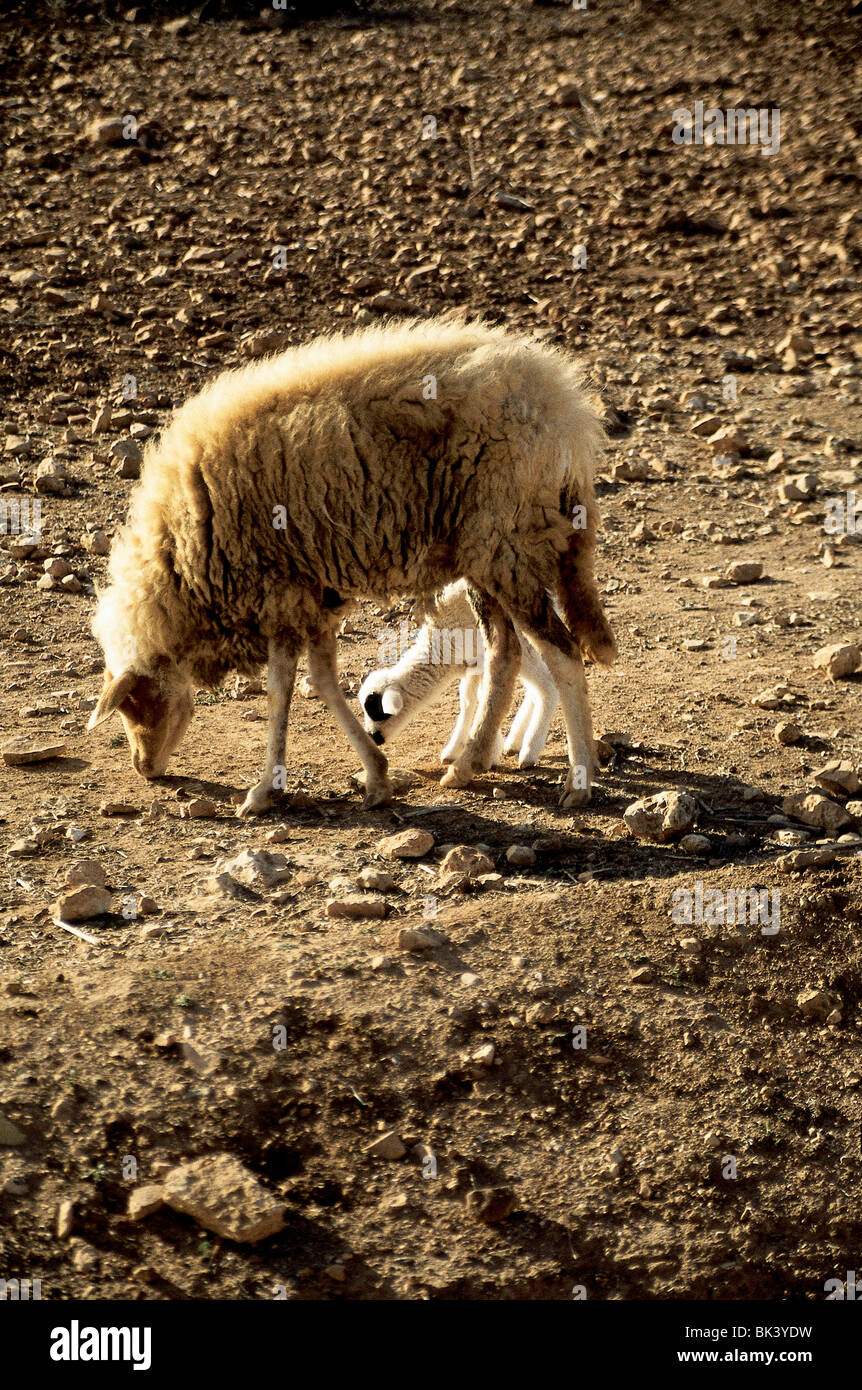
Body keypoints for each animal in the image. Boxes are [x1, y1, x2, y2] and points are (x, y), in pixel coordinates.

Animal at [358, 578, 558, 767]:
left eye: (375, 710)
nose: (374, 738)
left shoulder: (485, 659)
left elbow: (486, 699)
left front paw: (488, 753)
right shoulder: (472, 665)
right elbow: (469, 701)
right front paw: (455, 750)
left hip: (522, 642)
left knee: (547, 684)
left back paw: (529, 752)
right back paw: (514, 742)